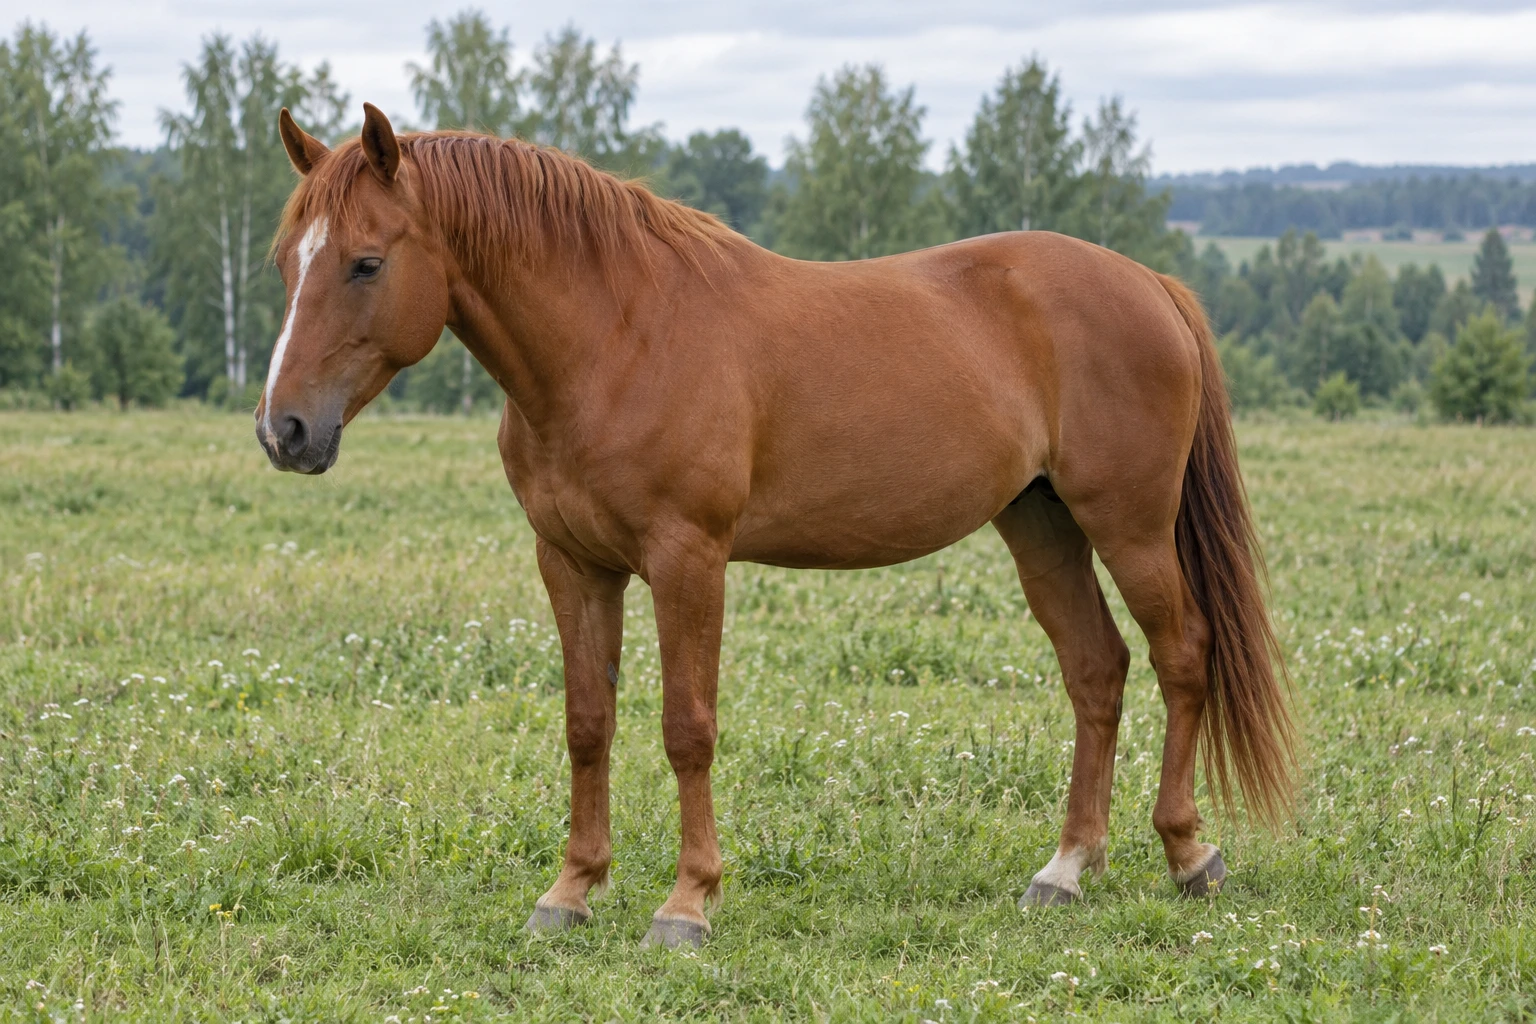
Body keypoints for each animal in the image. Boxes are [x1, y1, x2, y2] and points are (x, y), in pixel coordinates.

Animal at [258, 103, 1294, 949]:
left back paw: (1189, 855)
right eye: (284, 262)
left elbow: (687, 727)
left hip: (1129, 526)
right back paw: (1067, 869)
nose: (285, 430)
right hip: (1039, 527)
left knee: (1182, 654)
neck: (614, 339)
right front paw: (571, 892)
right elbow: (588, 723)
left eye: (366, 262)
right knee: (1096, 670)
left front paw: (686, 905)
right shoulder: (573, 564)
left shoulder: (689, 559)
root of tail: (1149, 283)